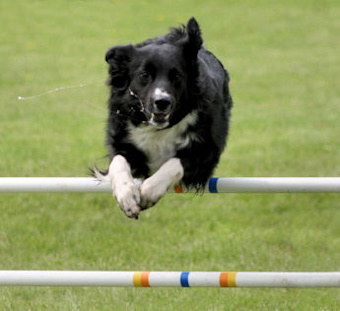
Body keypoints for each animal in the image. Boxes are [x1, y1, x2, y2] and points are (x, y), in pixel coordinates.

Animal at [96, 17, 234, 219]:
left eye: (176, 76)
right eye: (144, 75)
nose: (162, 102)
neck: (158, 128)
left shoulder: (208, 151)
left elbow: (174, 163)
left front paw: (149, 191)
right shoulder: (121, 138)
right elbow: (118, 161)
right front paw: (126, 196)